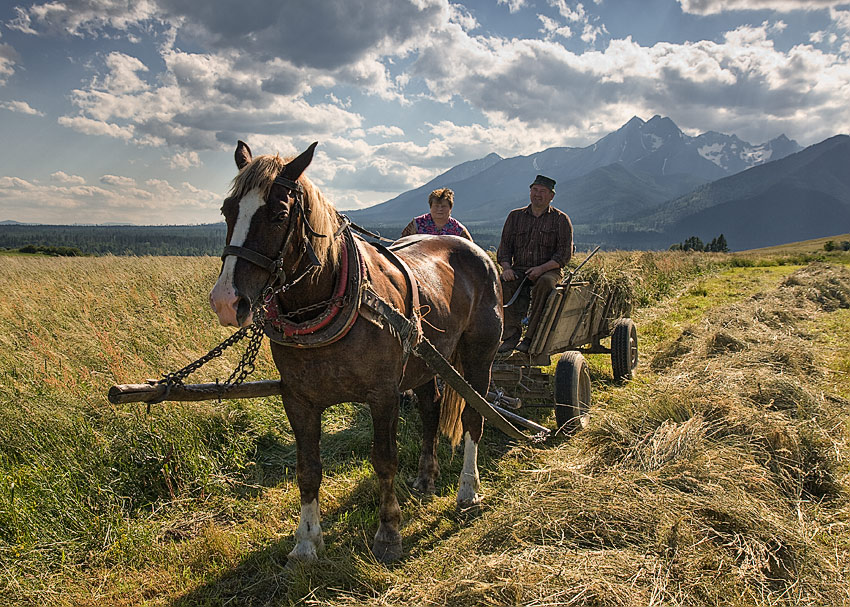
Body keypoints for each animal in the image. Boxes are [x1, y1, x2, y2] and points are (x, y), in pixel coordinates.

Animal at [207, 140, 504, 564]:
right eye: (227, 210)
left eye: (279, 214)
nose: (227, 302)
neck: (327, 297)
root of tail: (475, 249)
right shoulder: (297, 399)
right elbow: (308, 468)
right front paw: (306, 541)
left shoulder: (383, 395)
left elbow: (384, 459)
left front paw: (389, 532)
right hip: (426, 360)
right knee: (431, 411)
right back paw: (426, 476)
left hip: (479, 357)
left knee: (473, 417)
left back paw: (468, 489)